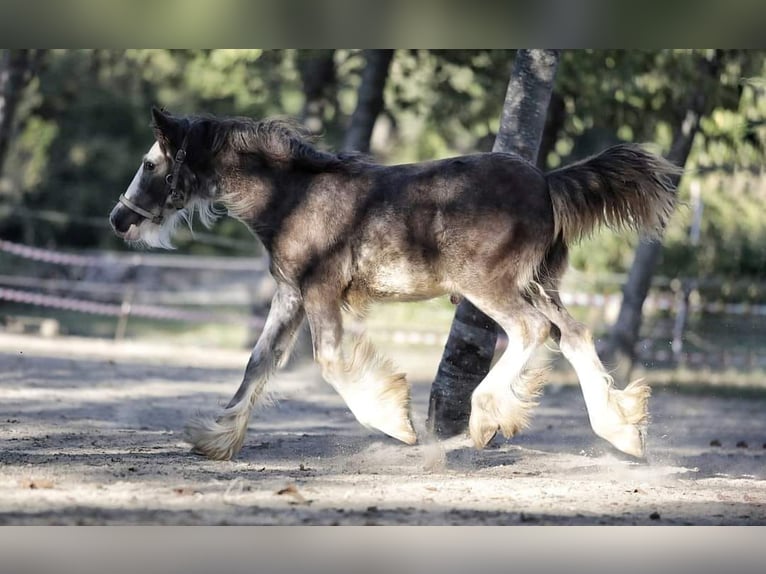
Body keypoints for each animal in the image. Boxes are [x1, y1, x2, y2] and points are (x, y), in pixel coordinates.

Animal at [108, 109, 680, 464]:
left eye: (149, 163)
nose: (119, 219)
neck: (293, 198)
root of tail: (546, 182)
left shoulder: (319, 291)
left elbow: (331, 361)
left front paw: (396, 422)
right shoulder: (291, 295)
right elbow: (258, 362)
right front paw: (216, 439)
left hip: (489, 285)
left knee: (532, 331)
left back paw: (485, 418)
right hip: (538, 284)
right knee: (573, 334)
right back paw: (621, 430)